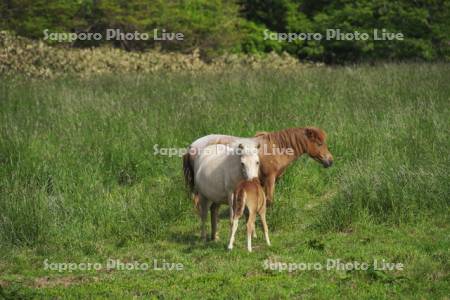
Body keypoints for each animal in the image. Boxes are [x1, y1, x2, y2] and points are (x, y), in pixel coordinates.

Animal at [183, 126, 334, 211]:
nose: (330, 161)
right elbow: (270, 199)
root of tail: (192, 146)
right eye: (319, 144)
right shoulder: (269, 179)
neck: (275, 148)